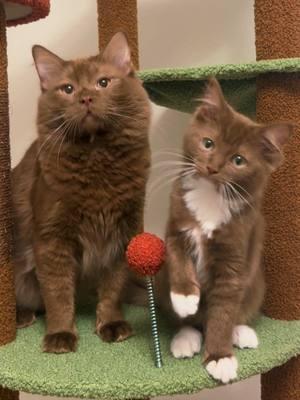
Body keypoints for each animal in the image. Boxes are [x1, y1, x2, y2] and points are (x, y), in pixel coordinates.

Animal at [12, 32, 151, 354]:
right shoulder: (52, 238)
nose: (86, 98)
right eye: (68, 89)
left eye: (103, 82)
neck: (96, 155)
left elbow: (113, 287)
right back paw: (21, 316)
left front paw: (111, 323)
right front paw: (61, 334)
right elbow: (58, 292)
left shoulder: (123, 233)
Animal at [158, 77, 292, 382]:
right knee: (187, 321)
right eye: (208, 143)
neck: (210, 195)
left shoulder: (236, 253)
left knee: (238, 311)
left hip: (256, 283)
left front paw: (219, 357)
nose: (212, 167)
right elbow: (179, 258)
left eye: (238, 160)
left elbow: (223, 310)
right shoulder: (176, 225)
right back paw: (185, 336)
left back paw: (241, 333)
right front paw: (185, 297)